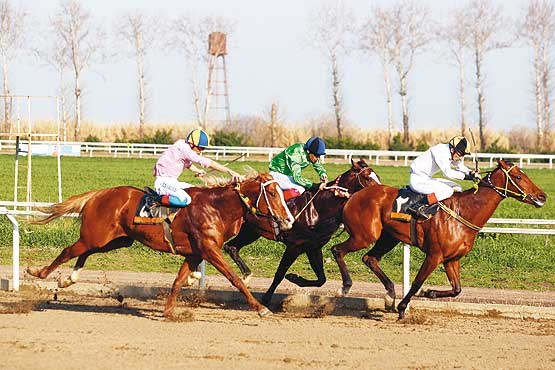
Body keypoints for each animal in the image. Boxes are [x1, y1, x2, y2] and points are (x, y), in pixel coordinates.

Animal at [27, 172, 296, 316]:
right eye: (273, 194)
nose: (289, 220)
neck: (215, 208)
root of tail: (98, 194)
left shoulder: (195, 253)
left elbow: (178, 281)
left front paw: (168, 310)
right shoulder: (210, 250)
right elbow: (235, 279)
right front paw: (260, 308)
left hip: (115, 240)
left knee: (84, 252)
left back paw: (68, 279)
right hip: (97, 236)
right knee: (68, 250)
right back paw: (39, 272)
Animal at [224, 158, 380, 304]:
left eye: (377, 176)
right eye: (367, 177)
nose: (380, 192)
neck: (318, 207)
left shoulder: (313, 247)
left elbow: (321, 279)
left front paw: (294, 277)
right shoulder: (295, 246)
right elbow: (280, 273)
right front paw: (267, 298)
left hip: (251, 231)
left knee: (231, 247)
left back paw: (246, 275)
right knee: (229, 246)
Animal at [330, 160, 548, 320]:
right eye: (518, 176)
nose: (542, 196)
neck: (464, 212)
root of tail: (354, 195)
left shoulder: (453, 258)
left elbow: (457, 289)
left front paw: (429, 293)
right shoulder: (435, 255)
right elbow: (417, 281)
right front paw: (403, 308)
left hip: (387, 238)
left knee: (369, 258)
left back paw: (389, 296)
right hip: (364, 236)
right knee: (337, 250)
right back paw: (345, 287)